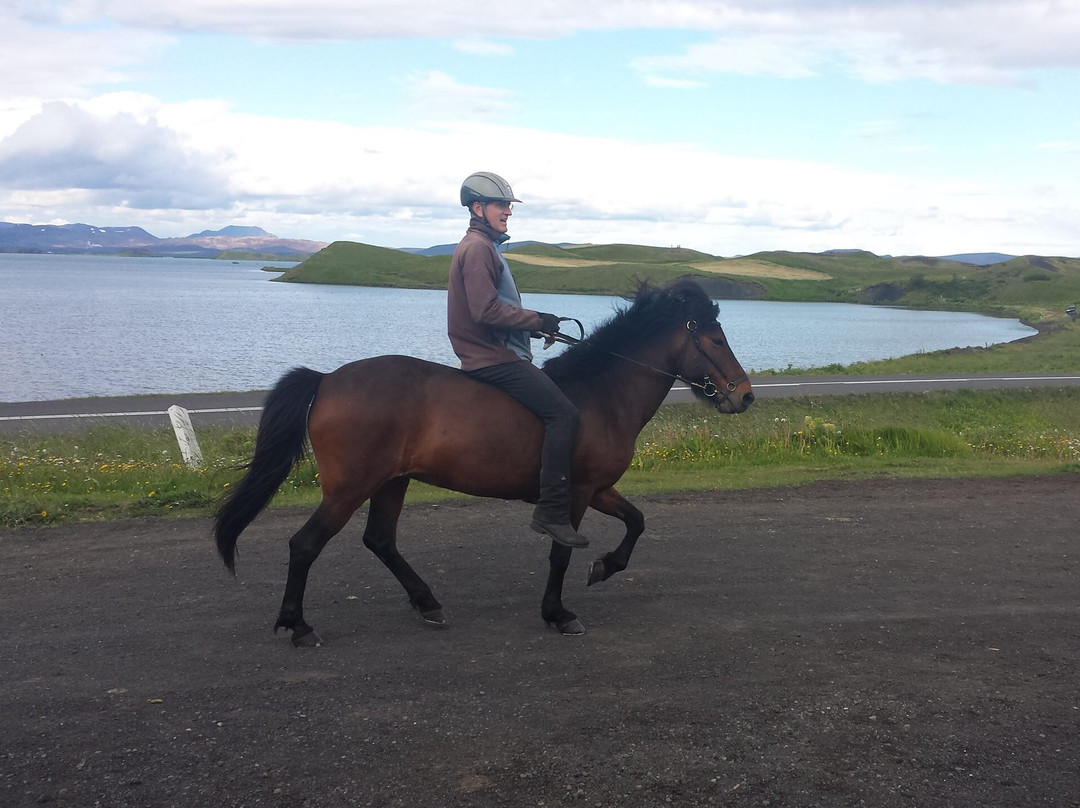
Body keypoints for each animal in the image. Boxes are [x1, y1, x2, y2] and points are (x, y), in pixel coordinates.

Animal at [214, 278, 755, 645]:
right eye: (716, 339)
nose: (745, 396)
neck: (601, 392)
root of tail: (327, 379)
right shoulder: (576, 494)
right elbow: (561, 553)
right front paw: (558, 613)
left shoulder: (599, 488)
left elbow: (637, 522)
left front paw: (605, 567)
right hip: (350, 488)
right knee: (305, 545)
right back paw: (298, 624)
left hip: (392, 481)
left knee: (380, 540)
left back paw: (427, 603)